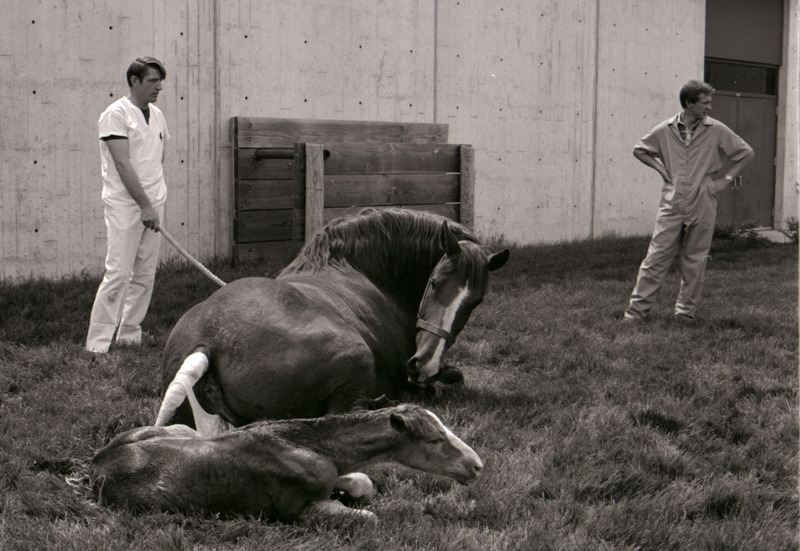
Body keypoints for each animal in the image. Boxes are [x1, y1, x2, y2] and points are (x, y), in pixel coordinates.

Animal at [90, 404, 483, 524]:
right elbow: (369, 517)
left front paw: (348, 491)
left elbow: (364, 483)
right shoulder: (297, 509)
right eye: (434, 440)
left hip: (182, 427)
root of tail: (96, 464)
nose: (477, 465)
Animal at [155, 207, 509, 433]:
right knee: (344, 415)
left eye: (474, 303)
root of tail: (208, 341)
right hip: (355, 355)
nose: (426, 365)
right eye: (434, 283)